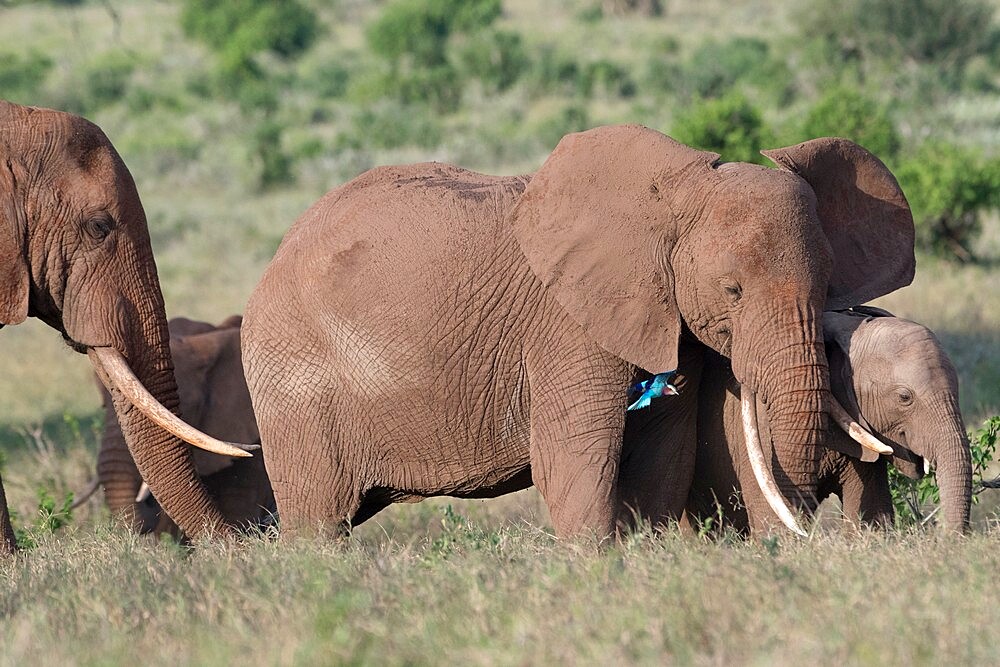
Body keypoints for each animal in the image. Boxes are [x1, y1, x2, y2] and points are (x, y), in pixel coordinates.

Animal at [240, 124, 916, 544]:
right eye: (732, 291)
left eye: (828, 285)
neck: (673, 197)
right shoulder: (568, 328)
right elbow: (577, 461)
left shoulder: (667, 324)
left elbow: (658, 463)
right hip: (295, 382)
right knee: (319, 523)